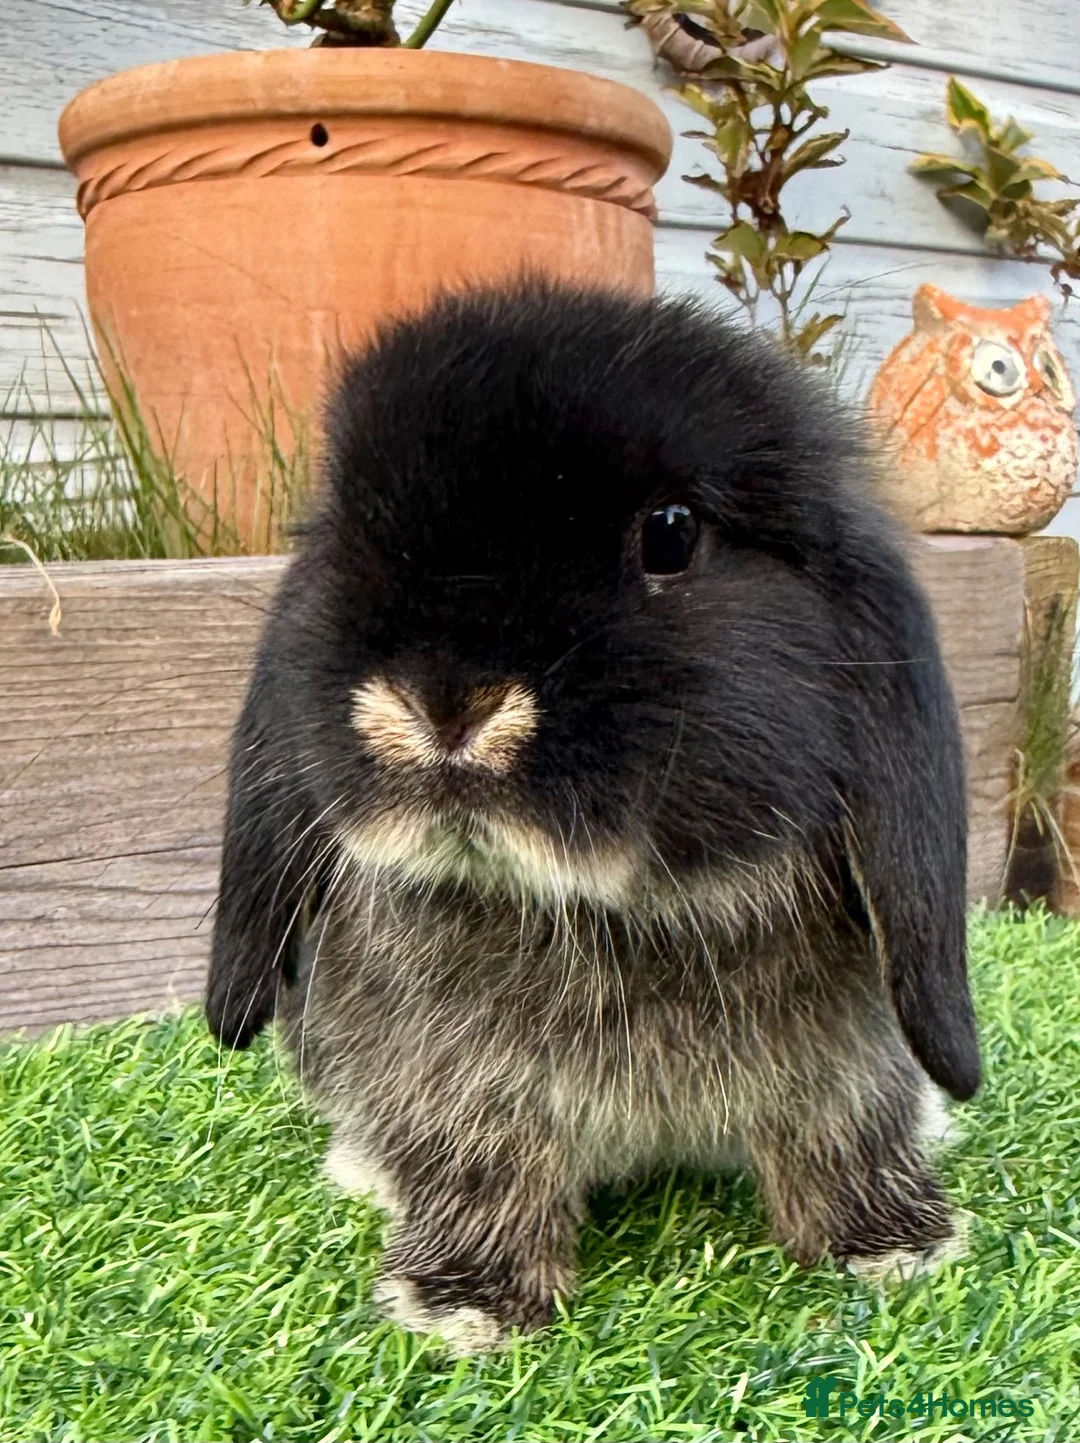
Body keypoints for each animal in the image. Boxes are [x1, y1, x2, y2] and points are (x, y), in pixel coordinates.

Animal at [207, 282, 980, 1357]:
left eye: (670, 534)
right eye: (344, 531)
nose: (443, 701)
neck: (620, 911)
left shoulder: (851, 1062)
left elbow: (846, 1133)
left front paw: (894, 1247)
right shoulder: (457, 1086)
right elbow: (480, 1166)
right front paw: (467, 1304)